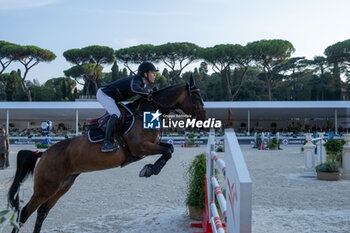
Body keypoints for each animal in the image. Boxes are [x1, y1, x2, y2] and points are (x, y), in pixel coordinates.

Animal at [6, 77, 206, 233]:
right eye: (196, 96)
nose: (204, 119)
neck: (145, 113)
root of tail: (44, 153)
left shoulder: (152, 145)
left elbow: (170, 149)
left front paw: (150, 169)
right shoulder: (140, 147)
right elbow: (167, 151)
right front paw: (149, 170)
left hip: (62, 185)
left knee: (42, 212)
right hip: (46, 188)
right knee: (24, 213)